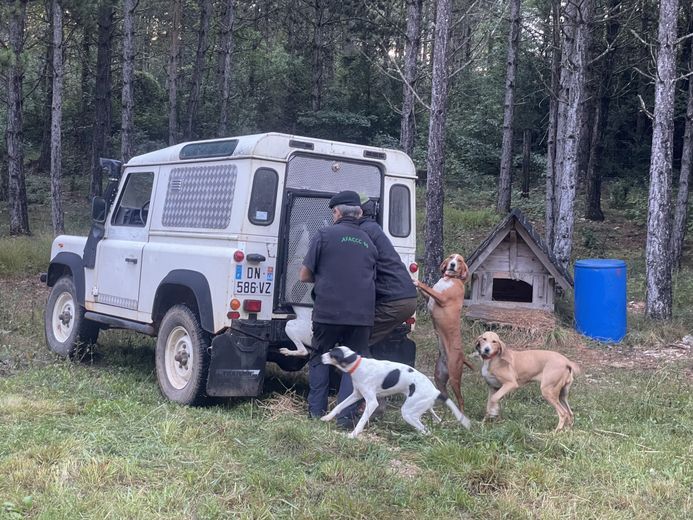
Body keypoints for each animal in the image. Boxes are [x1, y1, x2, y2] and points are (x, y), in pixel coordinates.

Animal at [320, 348, 470, 436]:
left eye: (332, 355)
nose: (320, 356)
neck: (358, 365)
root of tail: (435, 391)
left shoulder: (372, 402)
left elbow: (362, 419)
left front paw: (354, 434)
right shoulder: (356, 394)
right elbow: (340, 405)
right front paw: (327, 417)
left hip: (408, 412)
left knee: (426, 431)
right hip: (423, 408)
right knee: (435, 420)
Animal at [414, 254, 474, 412]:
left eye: (459, 260)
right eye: (451, 257)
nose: (452, 264)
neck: (450, 278)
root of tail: (462, 356)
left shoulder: (441, 298)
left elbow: (426, 286)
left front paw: (416, 281)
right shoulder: (429, 298)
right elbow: (425, 291)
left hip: (454, 378)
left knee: (461, 400)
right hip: (439, 378)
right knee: (446, 398)